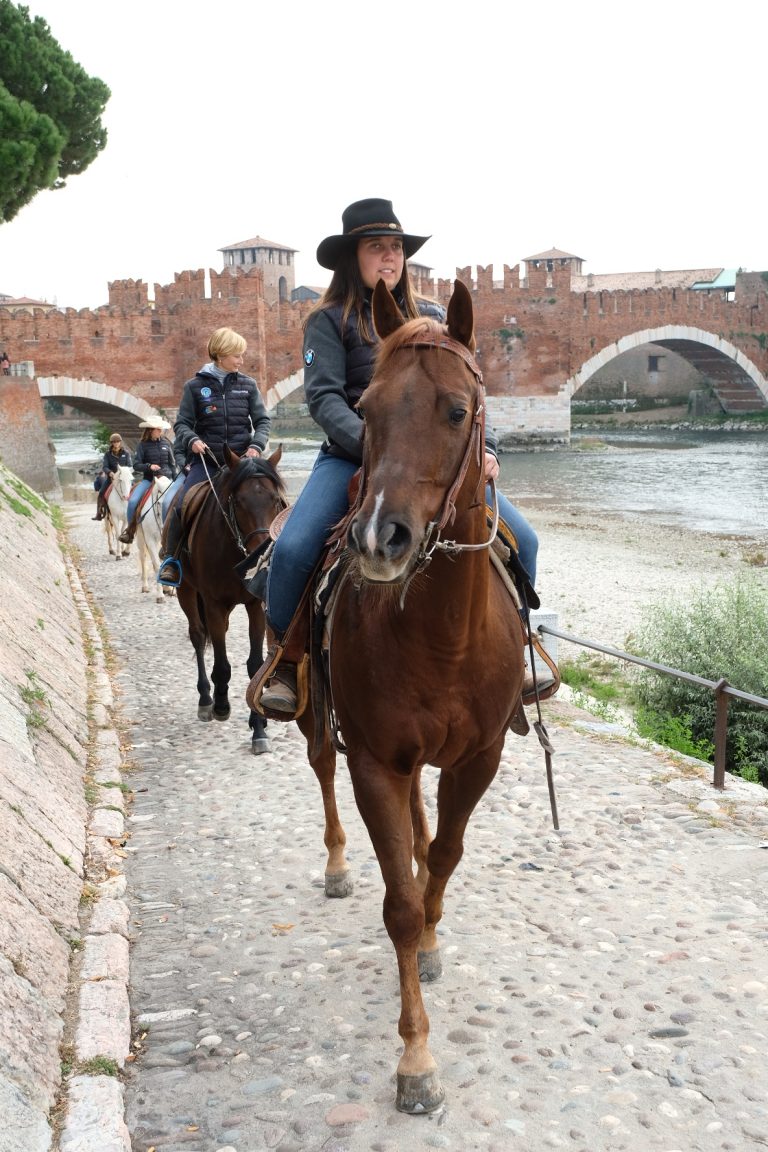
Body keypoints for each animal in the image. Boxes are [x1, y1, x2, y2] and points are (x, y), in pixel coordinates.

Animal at [172, 446, 286, 755]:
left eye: (275, 500)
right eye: (239, 501)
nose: (261, 552)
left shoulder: (255, 605)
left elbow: (255, 664)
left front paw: (259, 728)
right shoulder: (213, 603)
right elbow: (222, 663)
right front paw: (221, 705)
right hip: (186, 591)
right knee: (199, 636)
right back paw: (206, 700)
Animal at [279, 278, 525, 1115]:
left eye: (456, 410)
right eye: (369, 407)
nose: (378, 539)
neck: (441, 633)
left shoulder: (479, 757)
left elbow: (443, 857)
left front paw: (434, 942)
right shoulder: (375, 763)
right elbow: (400, 904)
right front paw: (416, 1057)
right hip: (318, 722)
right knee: (321, 772)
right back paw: (334, 865)